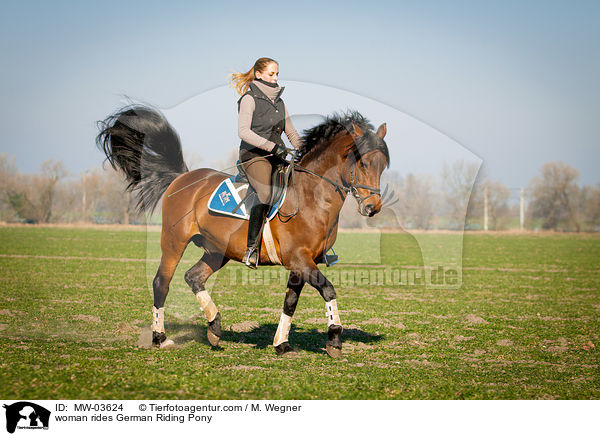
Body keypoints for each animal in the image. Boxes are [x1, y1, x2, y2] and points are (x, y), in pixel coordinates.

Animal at [98, 105, 390, 358]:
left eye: (382, 165)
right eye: (363, 163)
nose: (373, 207)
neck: (311, 196)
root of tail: (182, 177)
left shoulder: (301, 265)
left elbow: (290, 303)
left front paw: (282, 344)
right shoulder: (299, 259)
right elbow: (328, 291)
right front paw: (334, 340)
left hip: (217, 250)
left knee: (193, 277)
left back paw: (215, 328)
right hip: (173, 242)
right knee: (162, 282)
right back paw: (160, 338)